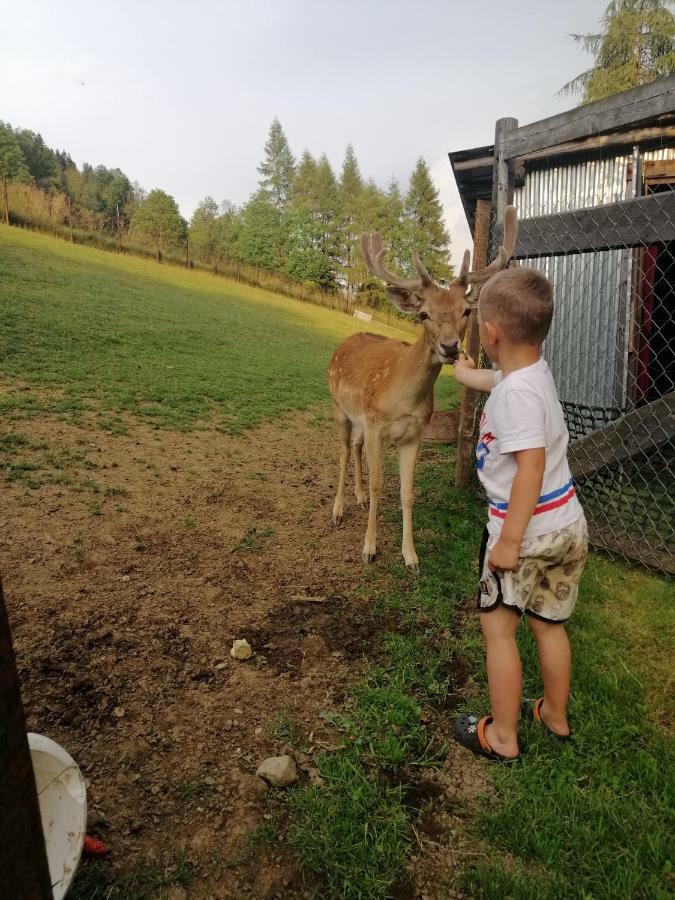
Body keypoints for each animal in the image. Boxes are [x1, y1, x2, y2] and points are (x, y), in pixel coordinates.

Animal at [328, 207, 516, 568]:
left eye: (466, 311)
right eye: (423, 314)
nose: (450, 347)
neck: (403, 399)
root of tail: (344, 342)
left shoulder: (413, 433)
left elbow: (407, 492)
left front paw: (410, 555)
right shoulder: (376, 426)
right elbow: (379, 485)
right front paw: (369, 549)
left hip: (358, 418)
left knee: (354, 447)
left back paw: (357, 498)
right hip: (339, 407)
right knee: (343, 450)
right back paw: (339, 509)